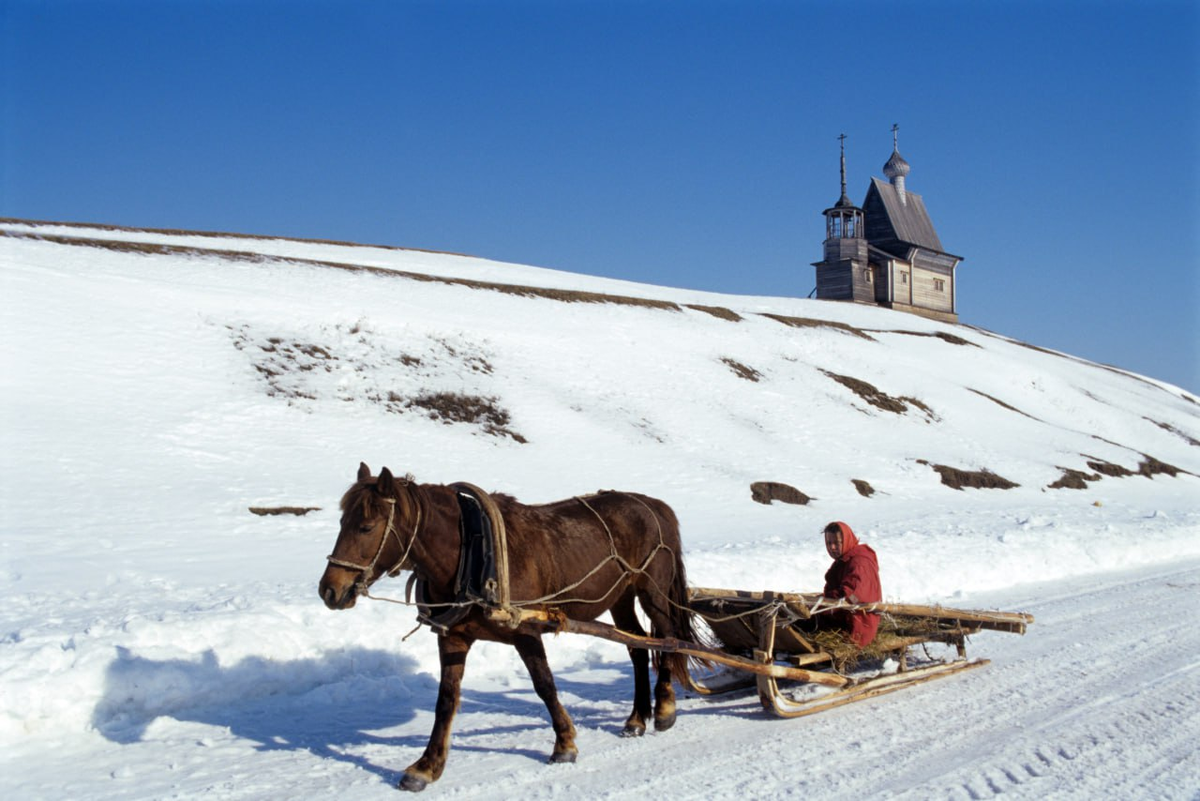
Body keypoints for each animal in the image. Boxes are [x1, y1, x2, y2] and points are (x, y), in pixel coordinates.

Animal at [316, 465, 700, 791]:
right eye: (341, 521)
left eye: (366, 527)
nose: (329, 590)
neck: (472, 555)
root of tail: (653, 504)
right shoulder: (453, 638)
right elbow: (446, 701)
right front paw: (426, 766)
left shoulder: (526, 632)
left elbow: (545, 685)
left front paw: (564, 743)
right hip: (620, 598)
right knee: (637, 647)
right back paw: (636, 718)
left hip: (652, 592)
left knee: (668, 640)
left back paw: (665, 709)